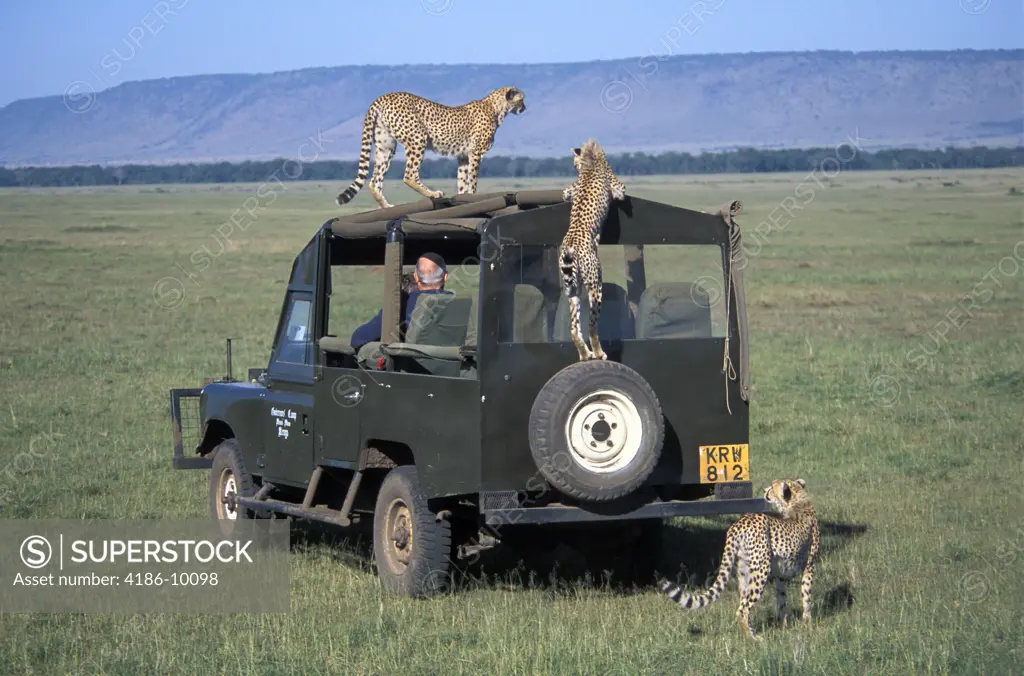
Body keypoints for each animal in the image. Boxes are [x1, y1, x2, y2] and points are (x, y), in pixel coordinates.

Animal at [335, 87, 528, 208]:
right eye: (521, 99)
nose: (525, 108)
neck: (496, 108)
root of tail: (383, 97)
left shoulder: (463, 156)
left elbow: (462, 181)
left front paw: (463, 197)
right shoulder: (475, 153)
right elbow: (472, 180)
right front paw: (473, 196)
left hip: (386, 146)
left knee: (374, 180)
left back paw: (386, 205)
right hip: (418, 139)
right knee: (409, 175)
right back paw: (433, 194)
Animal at [557, 140, 626, 362]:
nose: (574, 166)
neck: (591, 155)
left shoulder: (570, 190)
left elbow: (566, 192)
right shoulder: (618, 189)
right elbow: (622, 192)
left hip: (573, 288)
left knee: (573, 328)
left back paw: (585, 354)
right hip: (596, 284)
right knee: (592, 325)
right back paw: (598, 352)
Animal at [659, 477, 819, 635]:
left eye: (772, 488)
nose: (765, 490)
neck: (797, 501)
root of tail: (738, 524)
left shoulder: (782, 573)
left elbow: (782, 599)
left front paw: (784, 625)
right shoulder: (809, 566)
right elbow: (806, 596)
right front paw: (808, 624)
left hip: (744, 571)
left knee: (743, 602)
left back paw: (747, 632)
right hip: (761, 570)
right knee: (743, 609)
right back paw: (752, 638)